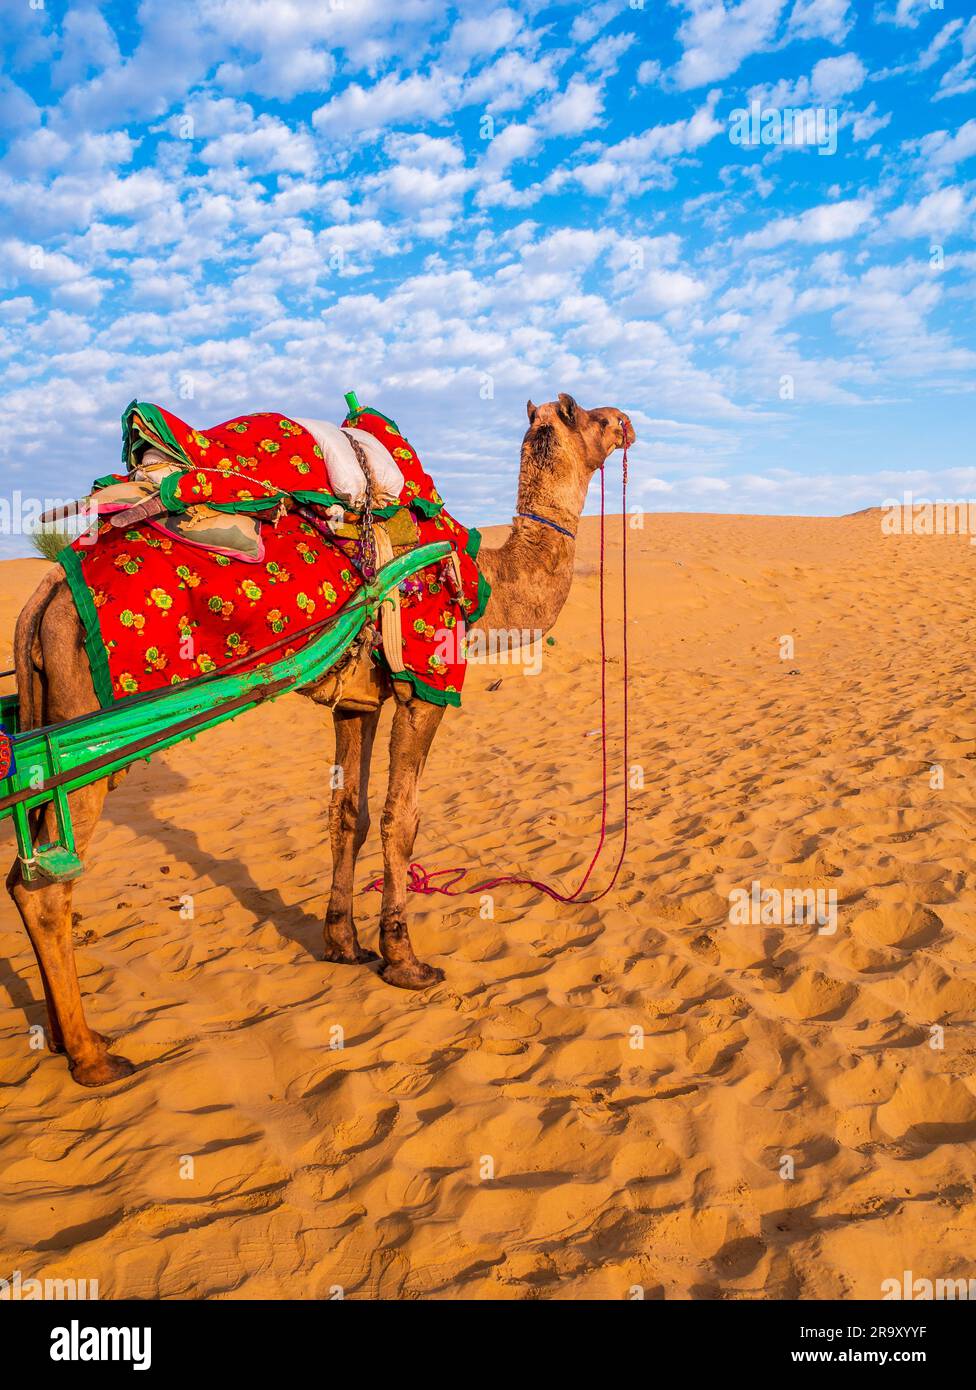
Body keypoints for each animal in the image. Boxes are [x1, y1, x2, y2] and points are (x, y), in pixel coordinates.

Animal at [6, 394, 634, 1085]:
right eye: (596, 418)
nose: (629, 423)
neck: (484, 582)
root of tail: (43, 597)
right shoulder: (424, 686)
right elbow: (399, 820)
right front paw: (404, 961)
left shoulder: (358, 699)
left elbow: (347, 815)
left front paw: (342, 944)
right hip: (87, 737)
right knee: (45, 883)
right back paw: (92, 1056)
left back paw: (62, 1037)